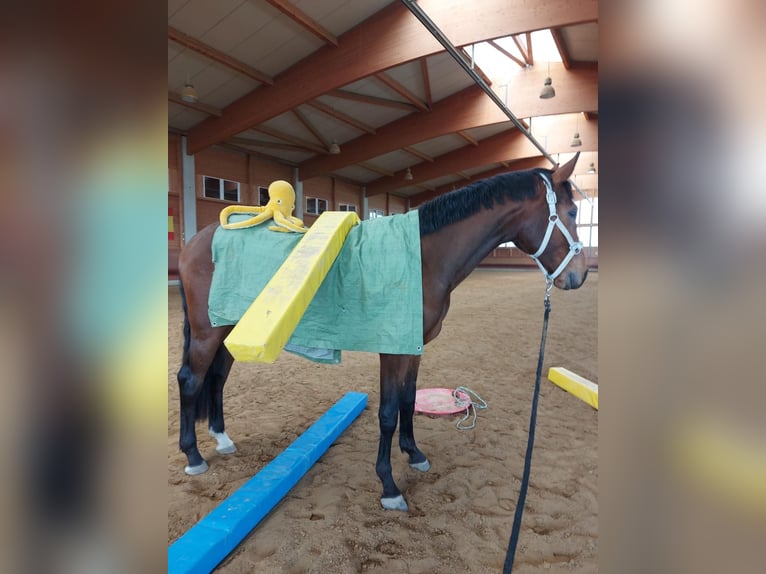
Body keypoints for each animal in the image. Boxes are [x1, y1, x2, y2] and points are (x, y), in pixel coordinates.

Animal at [175, 153, 588, 512]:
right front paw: (389, 487)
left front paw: (414, 454)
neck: (421, 258)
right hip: (207, 332)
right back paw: (194, 456)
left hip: (227, 329)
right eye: (572, 212)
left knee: (218, 377)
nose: (578, 276)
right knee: (190, 380)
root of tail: (197, 240)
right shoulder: (393, 349)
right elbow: (388, 412)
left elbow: (407, 399)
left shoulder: (414, 347)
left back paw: (222, 439)